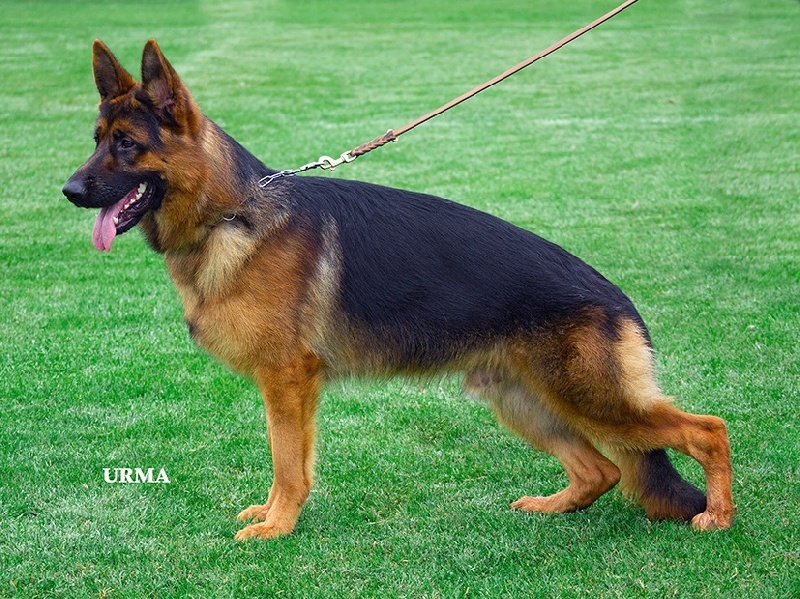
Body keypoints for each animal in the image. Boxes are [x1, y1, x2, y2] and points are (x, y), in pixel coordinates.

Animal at [63, 39, 734, 539]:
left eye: (127, 144)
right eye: (95, 139)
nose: (67, 191)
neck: (231, 213)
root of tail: (619, 299)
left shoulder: (287, 381)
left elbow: (287, 464)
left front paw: (278, 527)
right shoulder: (290, 389)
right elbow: (291, 463)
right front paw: (279, 517)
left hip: (593, 400)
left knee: (708, 429)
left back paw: (719, 516)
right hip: (524, 400)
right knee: (600, 471)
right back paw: (554, 508)